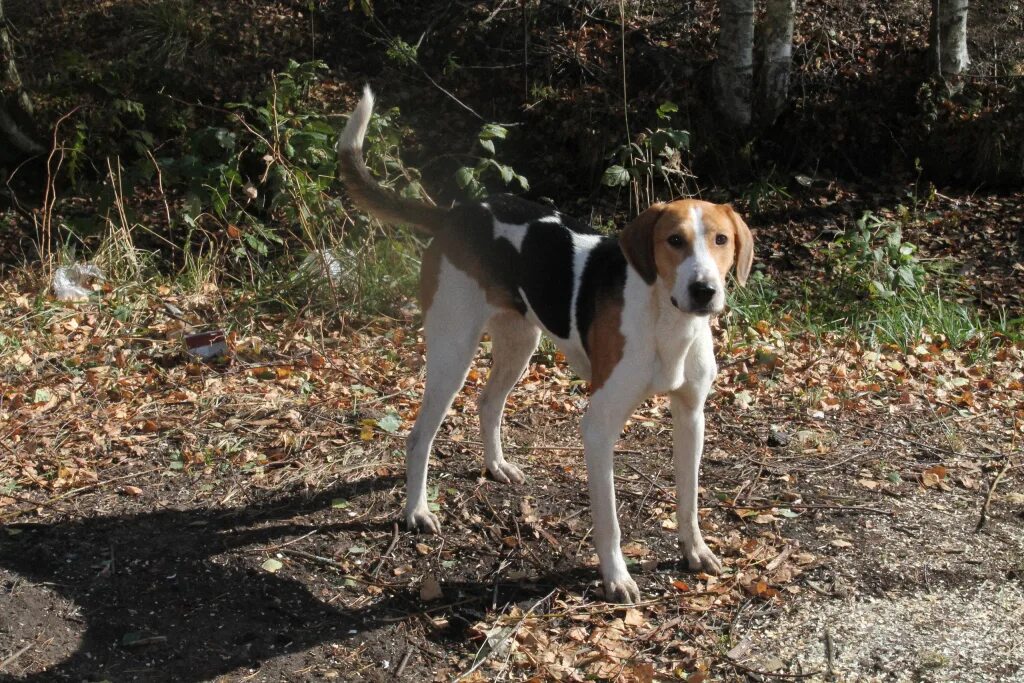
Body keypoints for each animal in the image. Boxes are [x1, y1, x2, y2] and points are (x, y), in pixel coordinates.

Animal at [335, 87, 753, 602]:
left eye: (721, 240)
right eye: (674, 241)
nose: (704, 290)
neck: (667, 323)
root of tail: (456, 214)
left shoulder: (691, 415)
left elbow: (689, 499)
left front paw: (695, 551)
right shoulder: (598, 427)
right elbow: (609, 522)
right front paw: (616, 577)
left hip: (520, 343)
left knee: (488, 402)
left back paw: (496, 466)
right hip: (453, 351)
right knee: (420, 436)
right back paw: (417, 511)